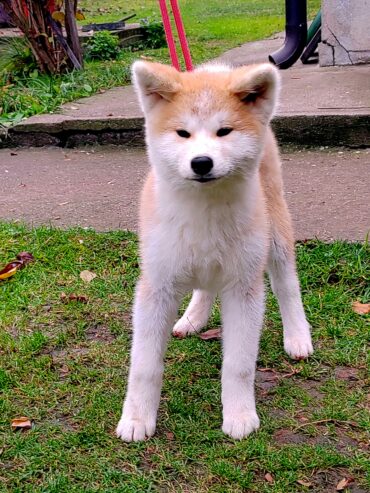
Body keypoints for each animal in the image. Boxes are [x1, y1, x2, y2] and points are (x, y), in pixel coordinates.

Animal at [115, 61, 312, 442]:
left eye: (224, 132)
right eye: (183, 133)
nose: (202, 162)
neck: (204, 210)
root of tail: (217, 69)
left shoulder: (244, 288)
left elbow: (238, 364)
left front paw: (239, 415)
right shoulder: (156, 287)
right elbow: (144, 366)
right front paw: (136, 418)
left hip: (275, 233)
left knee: (287, 286)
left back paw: (297, 335)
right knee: (205, 286)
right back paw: (192, 319)